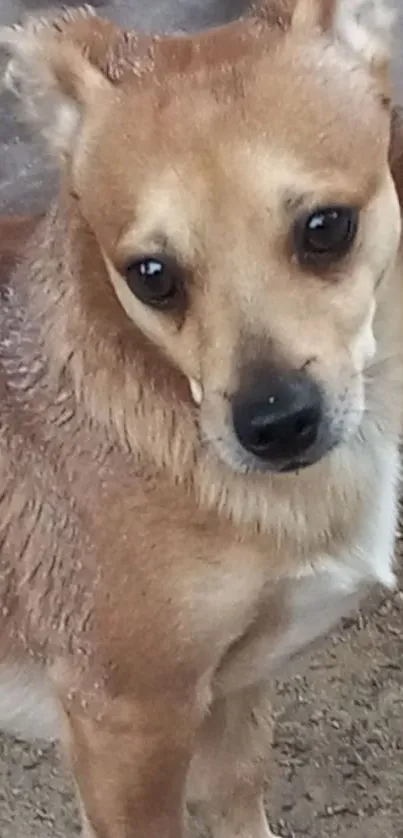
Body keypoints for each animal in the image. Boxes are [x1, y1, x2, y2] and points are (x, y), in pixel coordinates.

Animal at [0, 1, 402, 838]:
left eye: (326, 228)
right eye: (150, 276)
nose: (274, 423)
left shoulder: (232, 692)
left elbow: (239, 797)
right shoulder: (127, 724)